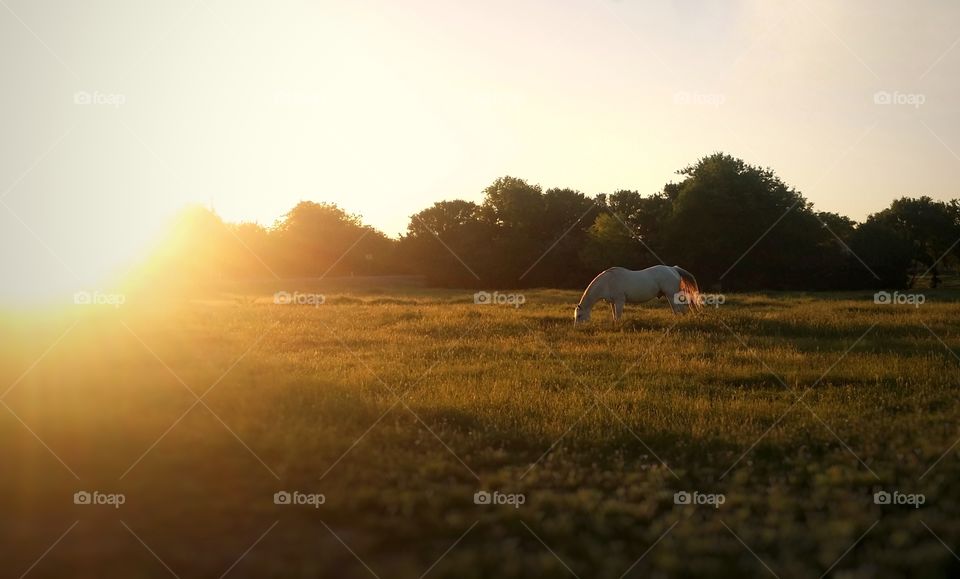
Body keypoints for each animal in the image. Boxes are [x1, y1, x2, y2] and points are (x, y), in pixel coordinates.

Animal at [572, 266, 700, 324]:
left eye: (579, 316)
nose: (577, 328)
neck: (607, 282)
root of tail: (673, 269)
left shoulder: (620, 301)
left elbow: (618, 315)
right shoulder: (613, 302)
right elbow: (614, 315)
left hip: (671, 295)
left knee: (678, 310)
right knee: (681, 309)